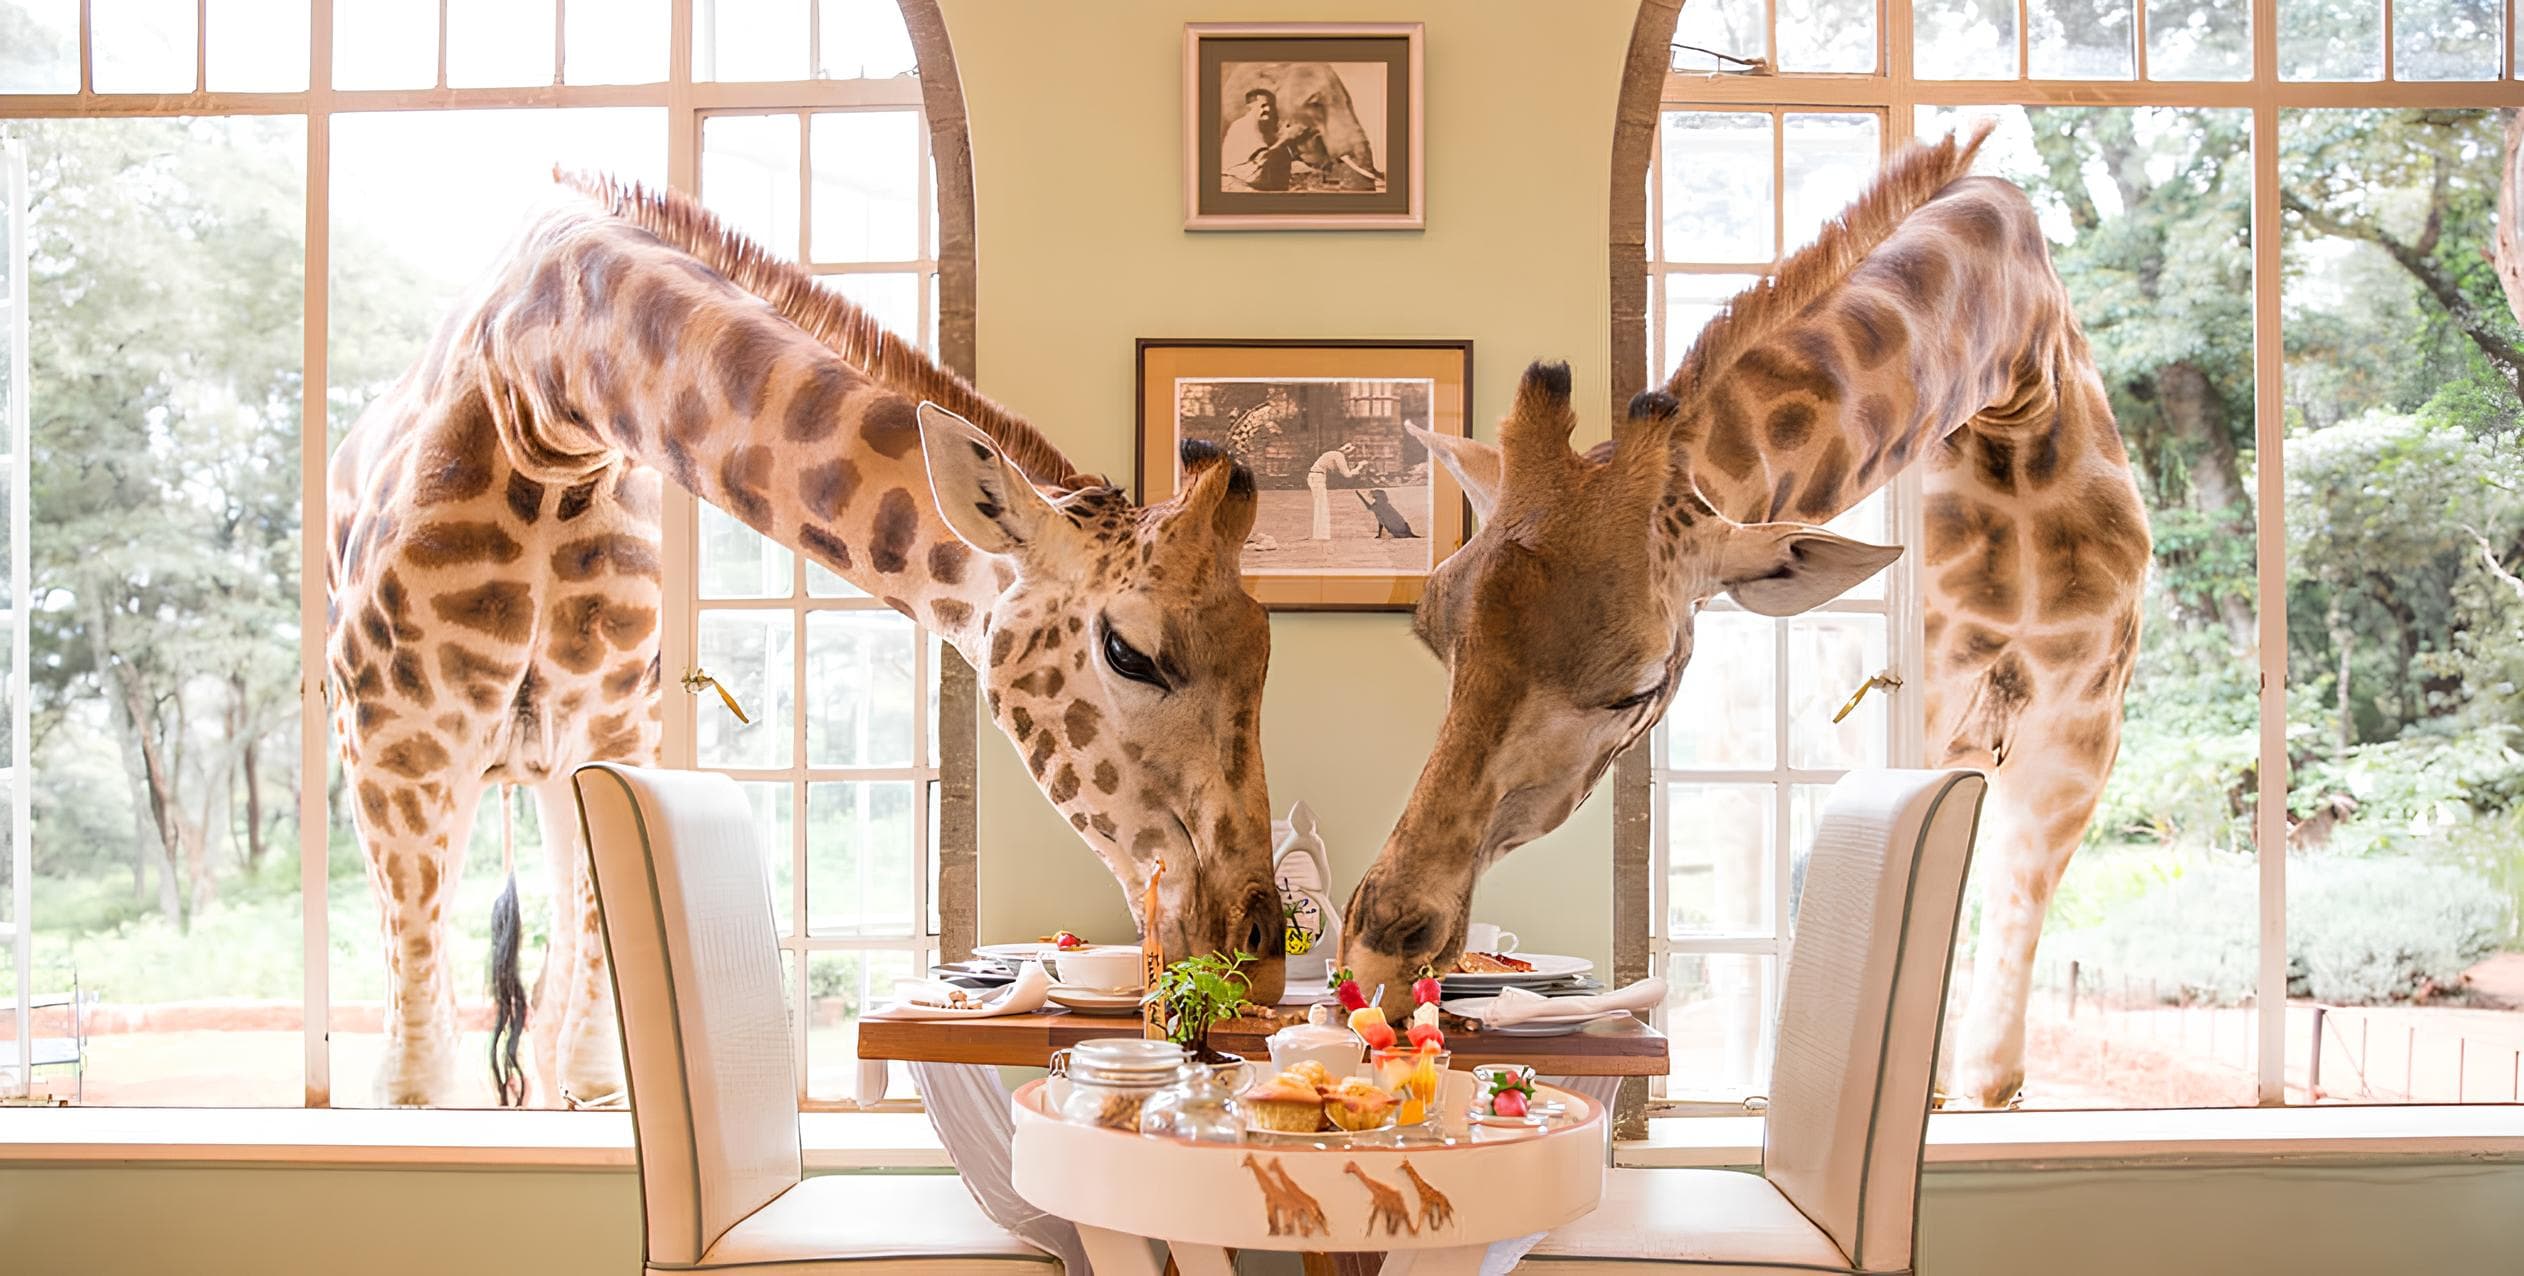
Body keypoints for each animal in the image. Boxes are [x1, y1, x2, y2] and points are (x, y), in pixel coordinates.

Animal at [327, 172, 1286, 1108]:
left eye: (1265, 650)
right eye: (1129, 653)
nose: (1262, 954)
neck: (544, 400)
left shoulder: (613, 734)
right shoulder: (395, 748)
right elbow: (416, 1079)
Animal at [1335, 123, 2152, 1109]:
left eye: (1639, 684)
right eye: (1434, 635)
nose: (1377, 952)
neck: (2016, 389)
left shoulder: (2075, 744)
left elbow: (1991, 1061)